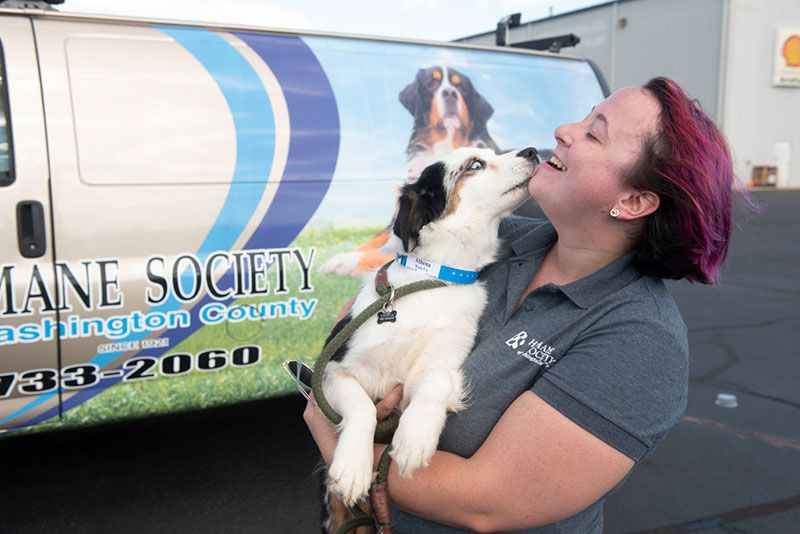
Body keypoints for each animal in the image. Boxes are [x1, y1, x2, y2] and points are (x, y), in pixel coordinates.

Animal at [318, 146, 536, 532]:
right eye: (475, 164)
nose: (534, 151)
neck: (437, 279)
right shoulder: (334, 368)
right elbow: (362, 408)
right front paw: (353, 464)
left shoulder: (442, 361)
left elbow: (434, 383)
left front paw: (415, 437)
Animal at [320, 65, 500, 278]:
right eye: (431, 84)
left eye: (462, 88)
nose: (450, 93)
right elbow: (378, 238)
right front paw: (340, 258)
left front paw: (348, 262)